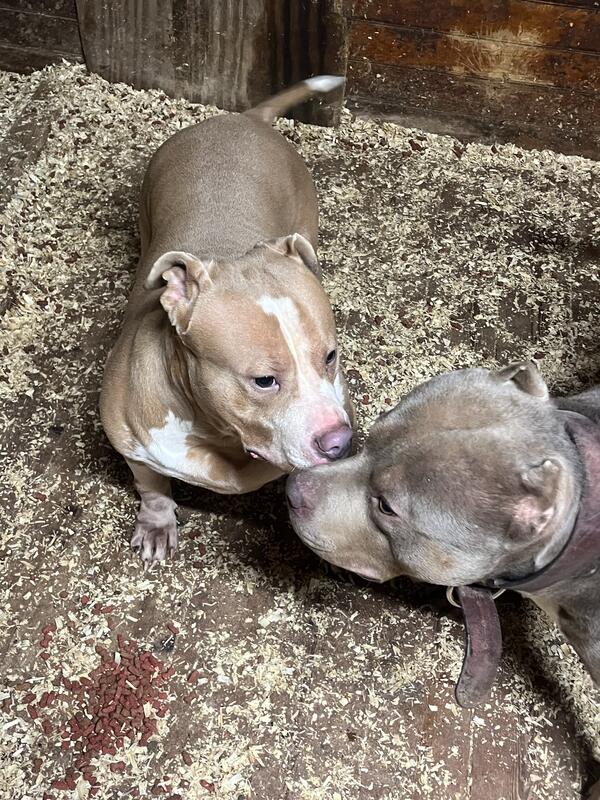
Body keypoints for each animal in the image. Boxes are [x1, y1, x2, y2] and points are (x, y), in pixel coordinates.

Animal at [100, 76, 353, 563]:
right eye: (264, 381)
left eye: (330, 357)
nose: (339, 443)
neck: (218, 435)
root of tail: (244, 118)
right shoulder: (133, 446)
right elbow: (152, 486)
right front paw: (157, 523)